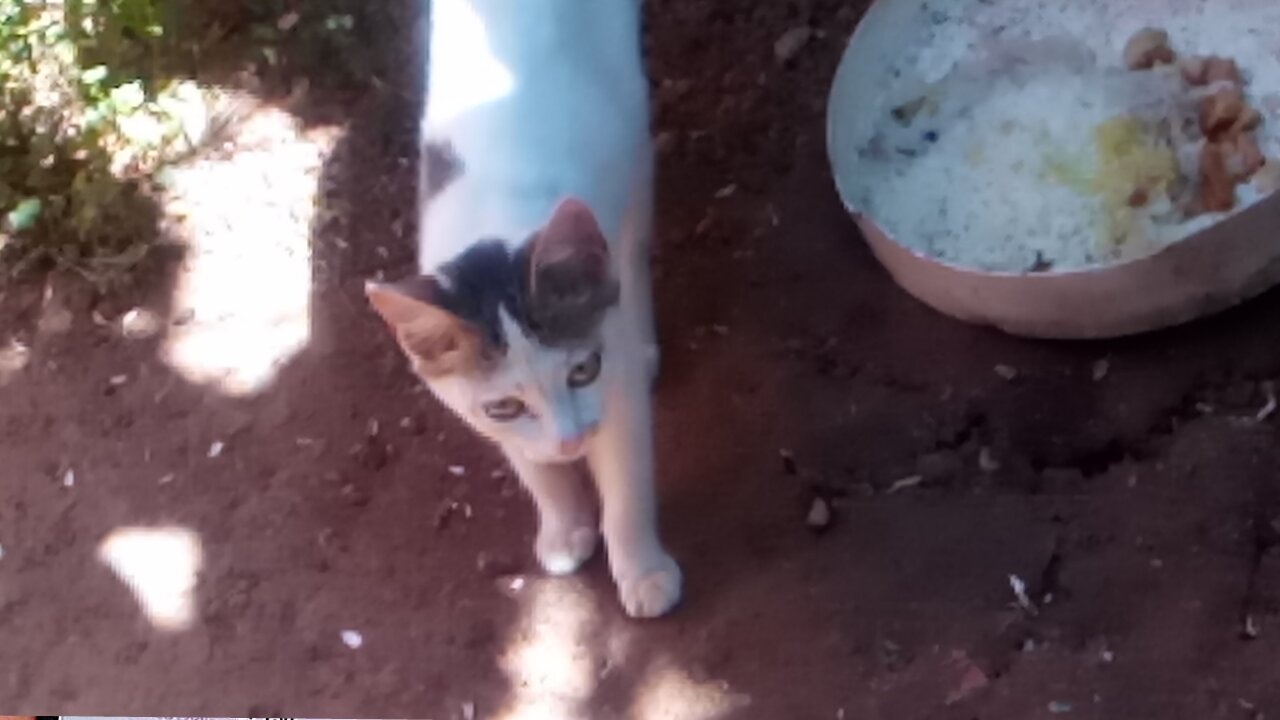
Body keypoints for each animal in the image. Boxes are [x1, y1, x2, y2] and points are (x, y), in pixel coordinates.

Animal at [363, 0, 680, 617]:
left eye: (583, 371)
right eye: (505, 406)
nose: (570, 443)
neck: (496, 220)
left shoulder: (614, 382)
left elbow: (626, 479)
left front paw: (642, 570)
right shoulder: (482, 411)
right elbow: (532, 466)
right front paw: (563, 526)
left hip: (630, 146)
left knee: (632, 244)